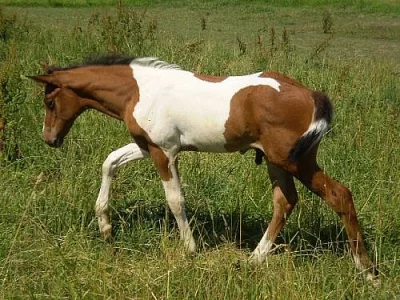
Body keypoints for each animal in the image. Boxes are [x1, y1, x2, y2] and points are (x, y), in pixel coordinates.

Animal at [29, 54, 376, 282]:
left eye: (49, 102)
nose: (49, 139)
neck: (140, 91)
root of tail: (312, 94)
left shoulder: (165, 151)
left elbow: (175, 200)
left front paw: (191, 249)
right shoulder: (147, 146)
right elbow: (110, 162)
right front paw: (105, 226)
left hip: (294, 160)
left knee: (339, 195)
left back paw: (366, 270)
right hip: (277, 162)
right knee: (286, 201)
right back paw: (254, 259)